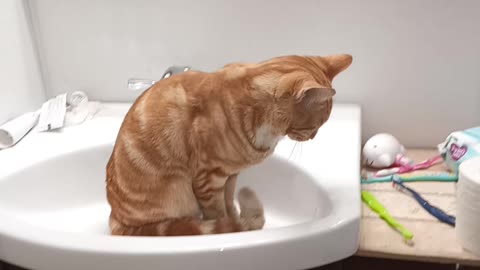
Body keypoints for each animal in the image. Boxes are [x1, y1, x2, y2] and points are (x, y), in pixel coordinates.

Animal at [106, 54, 352, 236]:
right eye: (317, 124)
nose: (313, 137)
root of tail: (115, 219)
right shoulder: (208, 179)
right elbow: (217, 214)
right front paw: (231, 229)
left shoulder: (230, 175)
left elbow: (229, 204)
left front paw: (236, 222)